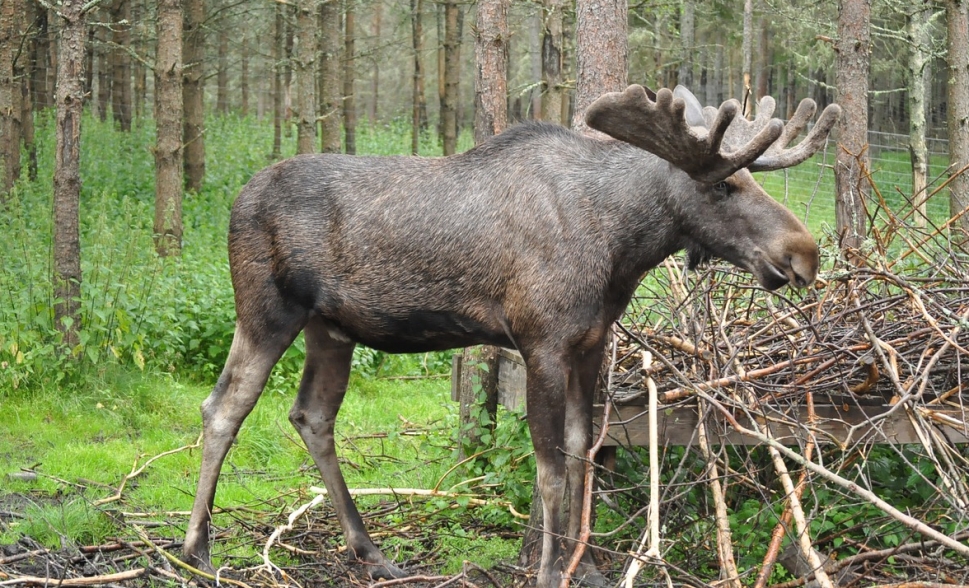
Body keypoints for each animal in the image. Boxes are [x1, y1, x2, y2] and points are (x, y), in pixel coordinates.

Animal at [183, 85, 840, 584]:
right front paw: (549, 570)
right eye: (724, 185)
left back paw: (370, 551)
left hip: (332, 328)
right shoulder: (541, 341)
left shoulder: (591, 342)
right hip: (267, 309)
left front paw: (588, 567)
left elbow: (582, 450)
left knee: (311, 415)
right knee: (224, 406)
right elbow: (548, 468)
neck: (620, 247)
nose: (804, 254)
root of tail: (236, 200)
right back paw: (195, 550)